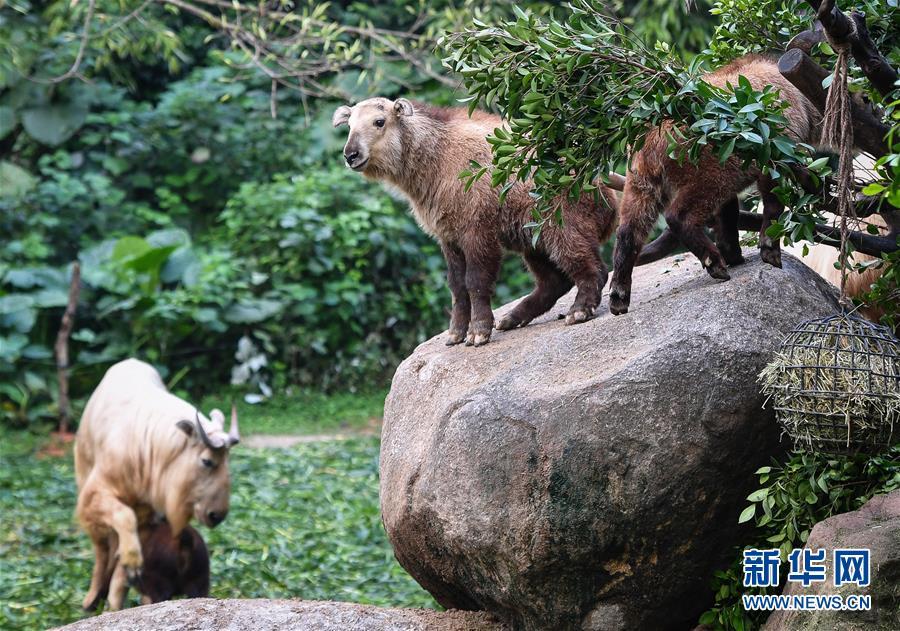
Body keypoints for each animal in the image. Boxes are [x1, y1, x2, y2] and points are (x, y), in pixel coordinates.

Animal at [330, 97, 620, 348]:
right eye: (349, 125)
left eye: (379, 121)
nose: (351, 155)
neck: (437, 157)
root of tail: (609, 199)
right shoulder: (448, 236)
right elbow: (457, 286)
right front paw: (456, 333)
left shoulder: (476, 230)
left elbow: (476, 282)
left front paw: (478, 331)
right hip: (531, 241)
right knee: (554, 282)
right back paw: (513, 318)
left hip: (561, 228)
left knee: (594, 269)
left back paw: (579, 310)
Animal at [608, 53, 820, 314]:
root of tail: (652, 137)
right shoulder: (773, 152)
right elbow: (772, 201)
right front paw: (768, 249)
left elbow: (727, 215)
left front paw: (734, 253)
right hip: (715, 169)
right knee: (678, 216)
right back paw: (714, 263)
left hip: (642, 182)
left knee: (628, 230)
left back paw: (618, 294)